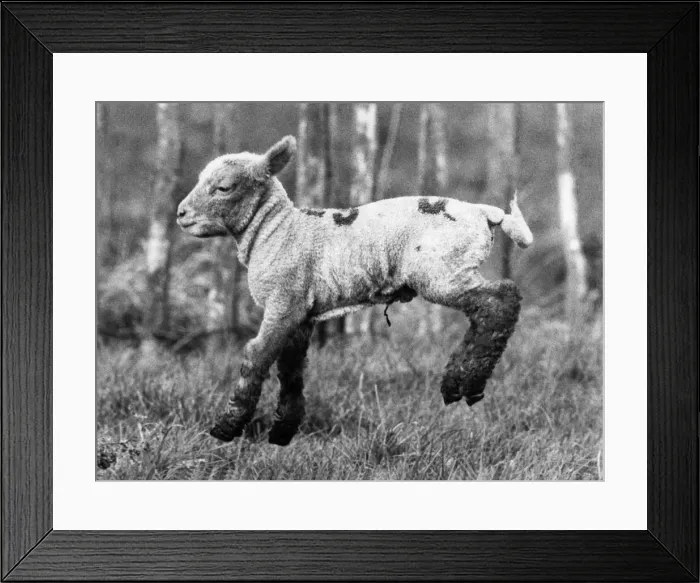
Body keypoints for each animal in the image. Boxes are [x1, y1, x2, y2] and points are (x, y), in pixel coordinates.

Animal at [177, 135, 533, 446]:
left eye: (224, 187)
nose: (181, 214)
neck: (276, 230)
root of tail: (485, 213)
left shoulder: (284, 300)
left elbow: (256, 355)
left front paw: (226, 426)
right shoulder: (302, 313)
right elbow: (291, 369)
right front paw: (283, 430)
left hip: (442, 270)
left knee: (501, 300)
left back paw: (468, 383)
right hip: (451, 270)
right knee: (486, 310)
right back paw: (454, 383)